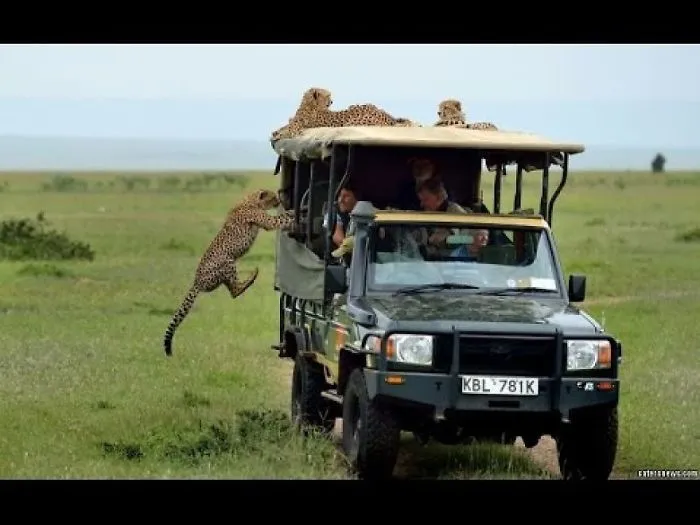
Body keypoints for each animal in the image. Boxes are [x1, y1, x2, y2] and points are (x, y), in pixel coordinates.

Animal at [163, 189, 297, 357]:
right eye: (272, 197)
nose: (279, 201)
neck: (251, 200)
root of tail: (196, 282)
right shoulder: (267, 222)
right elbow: (279, 220)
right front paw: (293, 213)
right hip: (228, 261)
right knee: (235, 291)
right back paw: (251, 278)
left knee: (232, 289)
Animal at [271, 87, 419, 142]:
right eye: (328, 95)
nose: (331, 101)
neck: (309, 104)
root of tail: (387, 116)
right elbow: (286, 125)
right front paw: (276, 132)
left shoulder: (301, 125)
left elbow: (291, 129)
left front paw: (279, 134)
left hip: (354, 120)